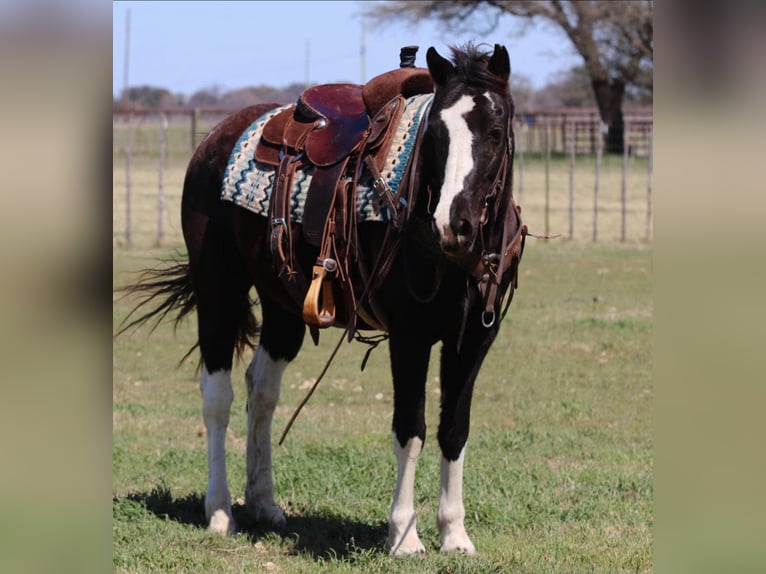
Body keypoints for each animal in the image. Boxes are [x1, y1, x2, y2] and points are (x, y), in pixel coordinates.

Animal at [118, 44, 528, 560]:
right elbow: (410, 429)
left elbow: (454, 430)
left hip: (282, 308)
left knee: (261, 392)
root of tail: (215, 137)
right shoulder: (410, 338)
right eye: (436, 132)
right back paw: (220, 512)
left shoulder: (473, 338)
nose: (452, 225)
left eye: (495, 131)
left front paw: (454, 534)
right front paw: (404, 535)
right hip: (218, 290)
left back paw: (263, 503)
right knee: (218, 398)